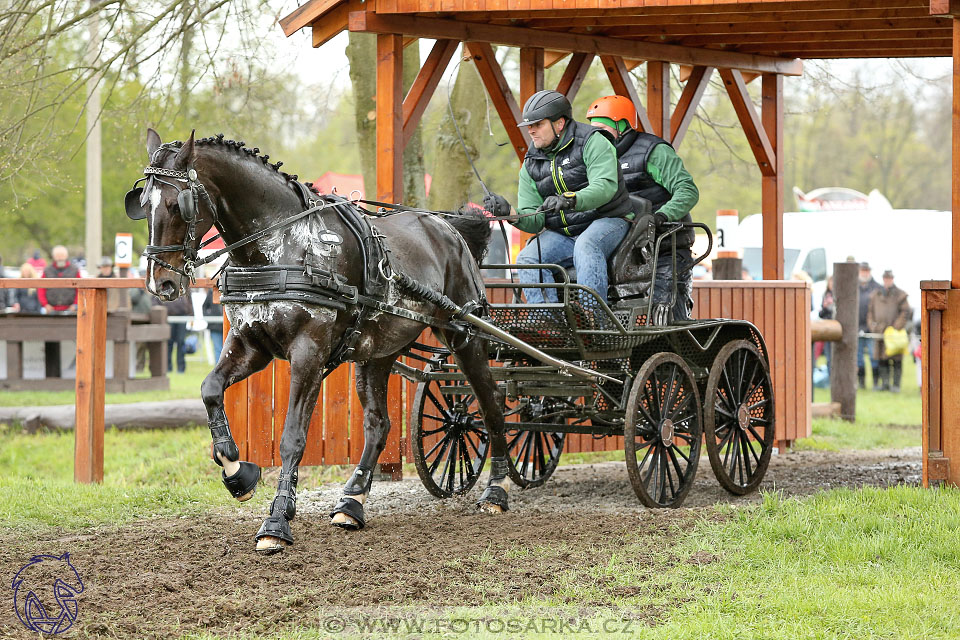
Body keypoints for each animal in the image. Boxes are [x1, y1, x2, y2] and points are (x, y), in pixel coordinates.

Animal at [133, 129, 516, 552]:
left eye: (177, 204)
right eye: (143, 204)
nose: (161, 283)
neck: (282, 244)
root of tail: (448, 228)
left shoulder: (309, 354)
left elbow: (292, 438)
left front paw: (277, 520)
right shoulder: (250, 345)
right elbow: (210, 390)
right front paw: (237, 472)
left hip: (465, 337)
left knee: (491, 405)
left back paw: (496, 491)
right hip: (377, 351)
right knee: (378, 424)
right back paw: (352, 501)